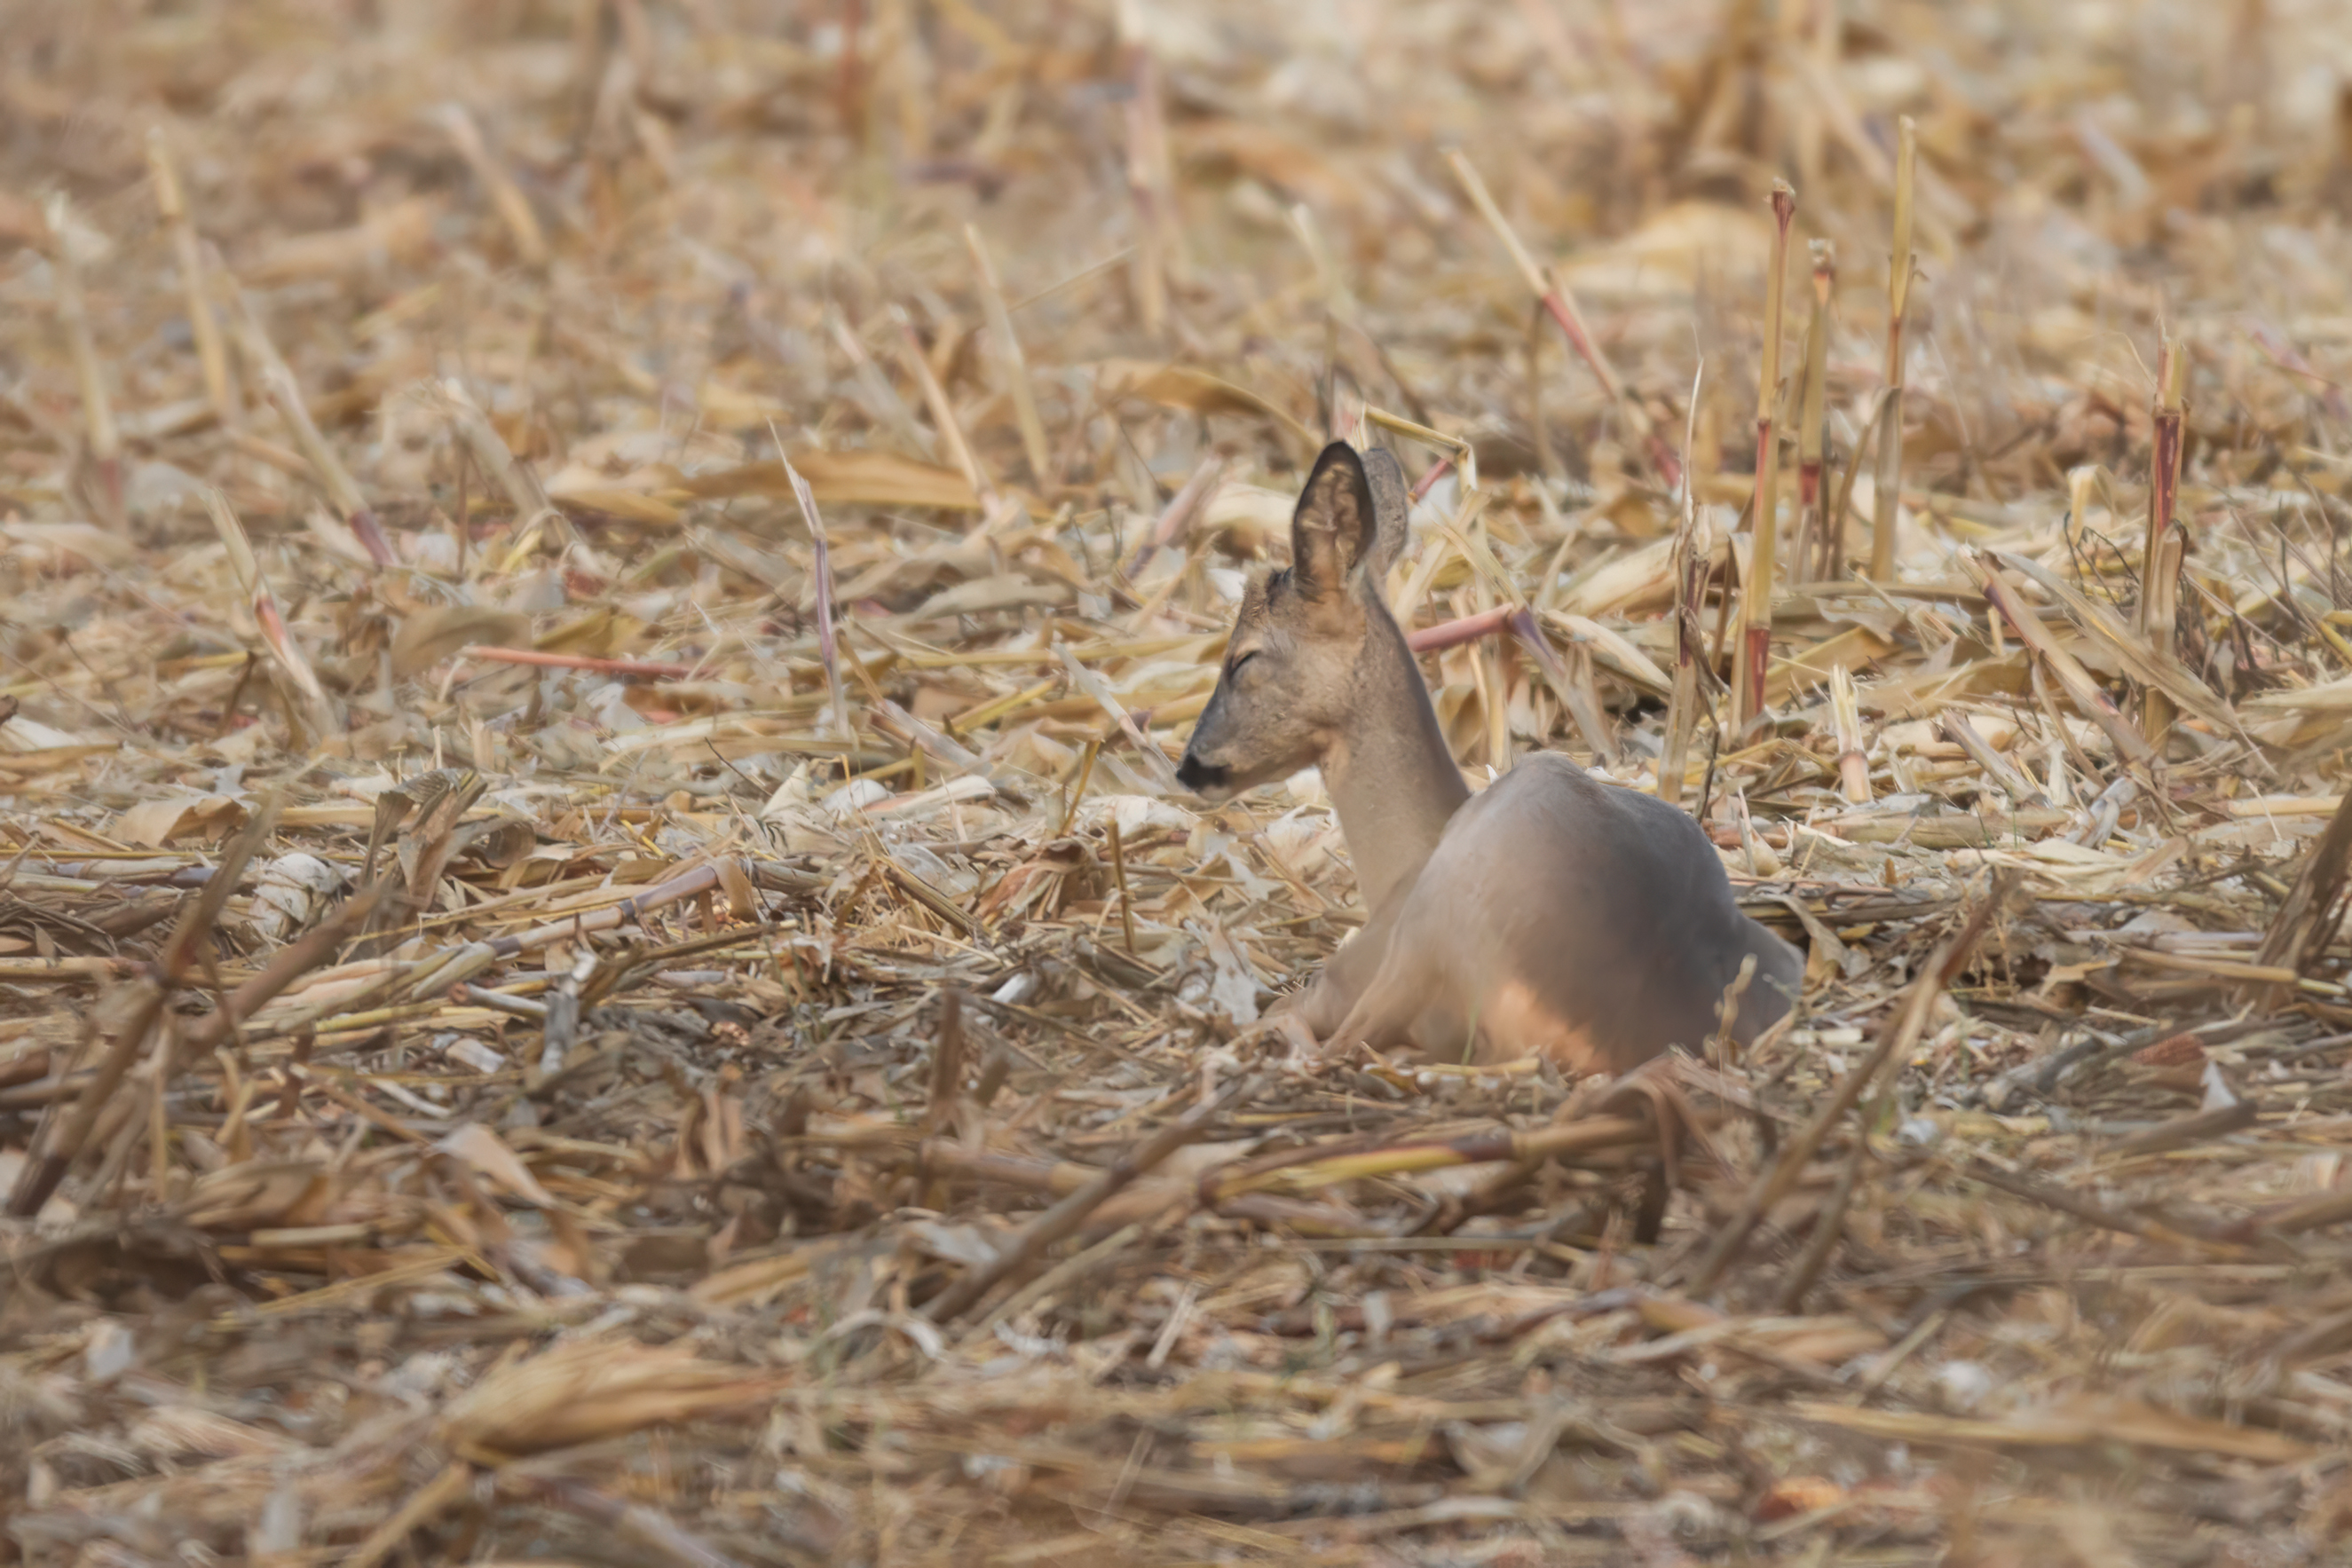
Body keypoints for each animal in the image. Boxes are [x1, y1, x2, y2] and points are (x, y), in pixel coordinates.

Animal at [1176, 442, 1796, 1081]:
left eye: (1243, 657)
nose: (1190, 765)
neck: (1404, 857)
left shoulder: (1357, 967)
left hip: (1423, 936)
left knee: (1328, 1042)